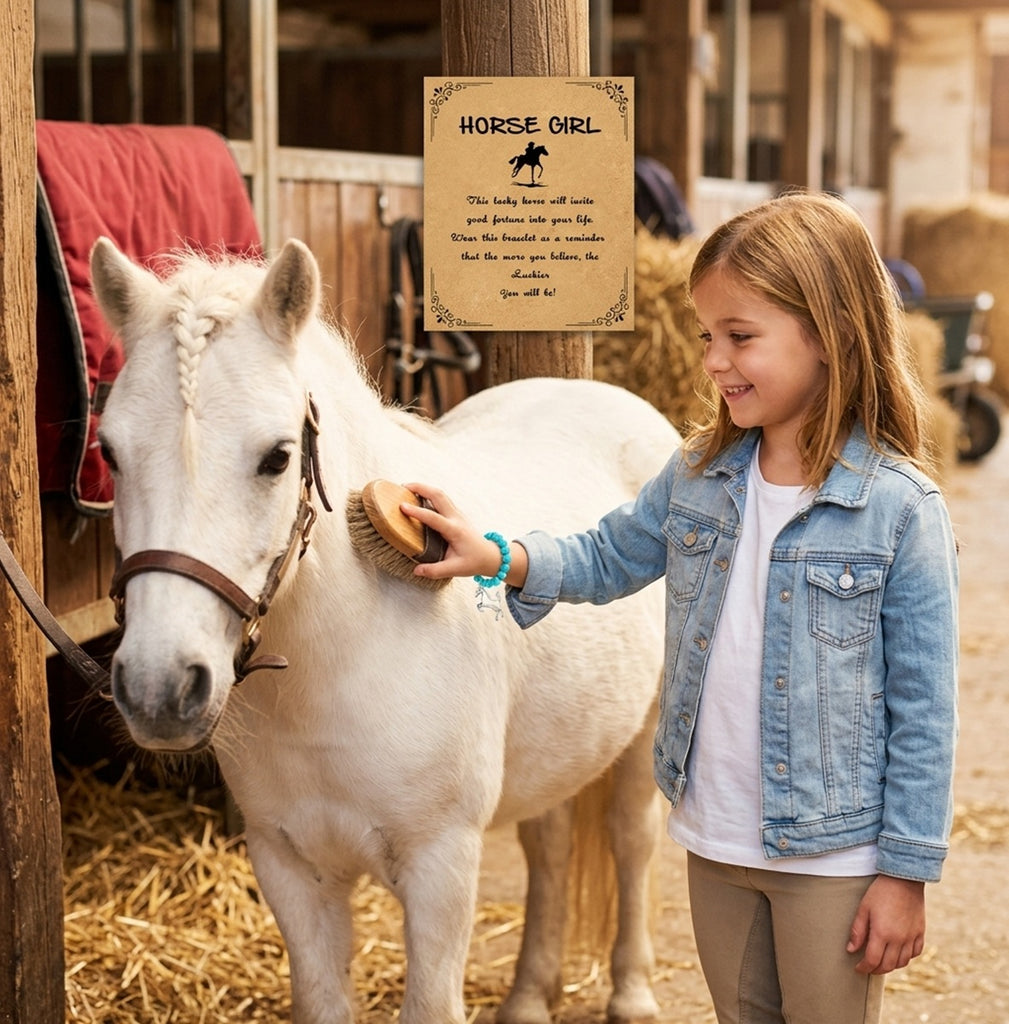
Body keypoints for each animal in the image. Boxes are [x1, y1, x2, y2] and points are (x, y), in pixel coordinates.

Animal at [89, 236, 680, 1024]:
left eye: (277, 456)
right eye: (110, 453)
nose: (159, 689)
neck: (342, 666)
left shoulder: (440, 872)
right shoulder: (290, 869)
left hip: (643, 733)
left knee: (630, 839)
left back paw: (633, 993)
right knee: (549, 843)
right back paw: (528, 996)